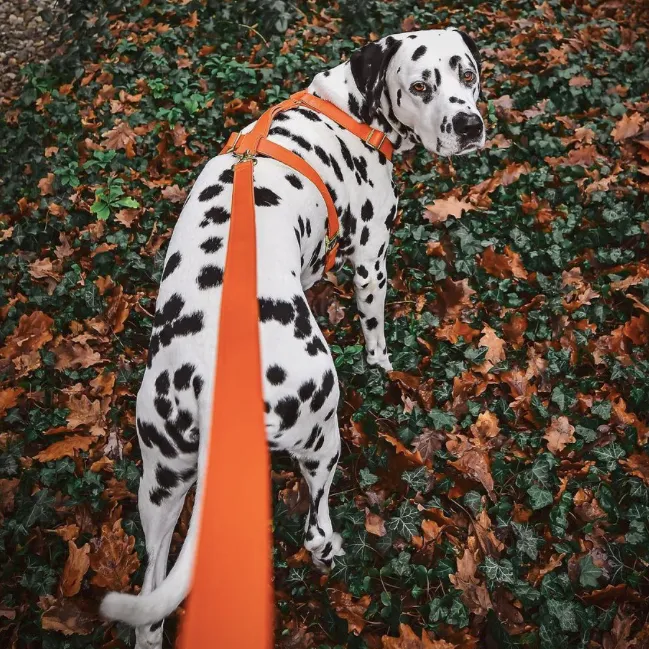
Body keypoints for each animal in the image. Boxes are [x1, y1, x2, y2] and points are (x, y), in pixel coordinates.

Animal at [101, 26, 484, 648]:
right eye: (421, 86)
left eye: (467, 74)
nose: (470, 124)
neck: (345, 106)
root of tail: (207, 386)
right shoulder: (371, 261)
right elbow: (376, 333)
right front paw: (384, 365)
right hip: (321, 433)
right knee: (314, 527)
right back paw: (332, 551)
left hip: (159, 486)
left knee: (151, 599)